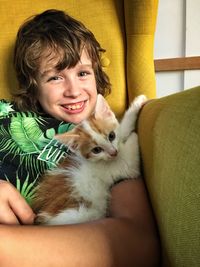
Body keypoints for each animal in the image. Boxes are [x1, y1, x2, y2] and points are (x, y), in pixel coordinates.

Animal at [31, 94, 147, 226]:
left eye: (111, 136)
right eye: (96, 150)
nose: (113, 152)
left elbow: (123, 130)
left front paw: (137, 103)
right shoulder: (122, 166)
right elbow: (130, 157)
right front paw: (134, 135)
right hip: (85, 213)